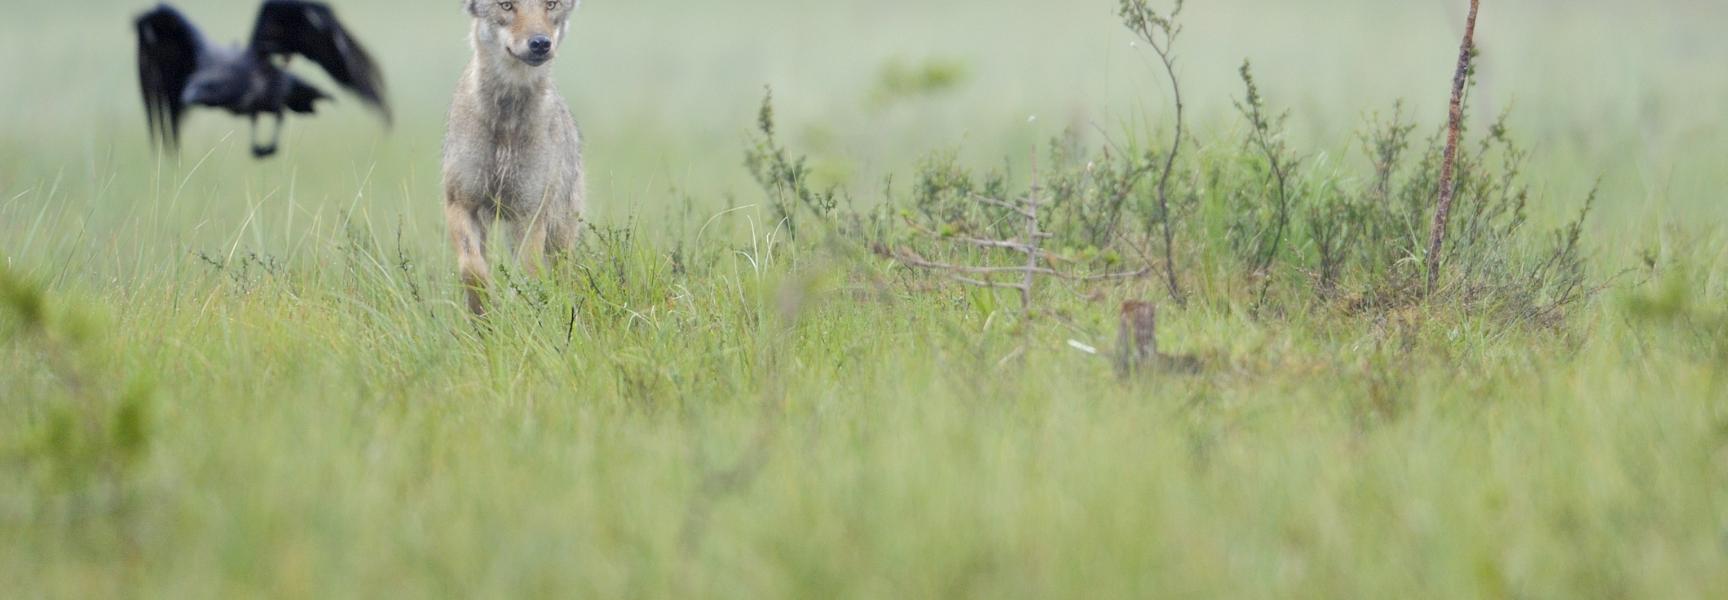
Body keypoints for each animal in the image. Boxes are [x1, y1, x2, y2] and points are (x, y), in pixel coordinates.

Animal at [443, 0, 585, 315]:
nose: (540, 43)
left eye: (551, 5)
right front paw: (484, 314)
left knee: (563, 277)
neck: (506, 115)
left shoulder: (529, 215)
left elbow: (528, 277)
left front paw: (516, 311)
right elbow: (472, 269)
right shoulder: (461, 204)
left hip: (559, 234)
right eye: (506, 6)